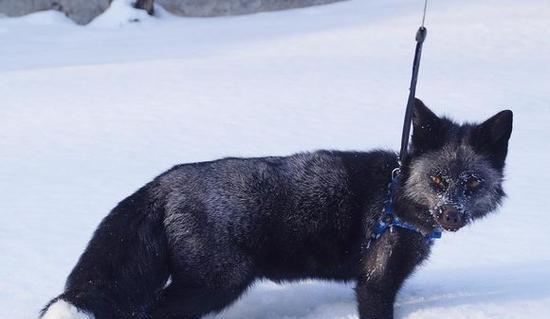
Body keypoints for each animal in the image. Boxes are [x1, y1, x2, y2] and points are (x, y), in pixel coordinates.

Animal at [42, 99, 512, 318]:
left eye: (471, 183)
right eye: (438, 182)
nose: (451, 216)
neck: (397, 195)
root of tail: (164, 181)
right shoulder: (375, 282)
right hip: (216, 283)